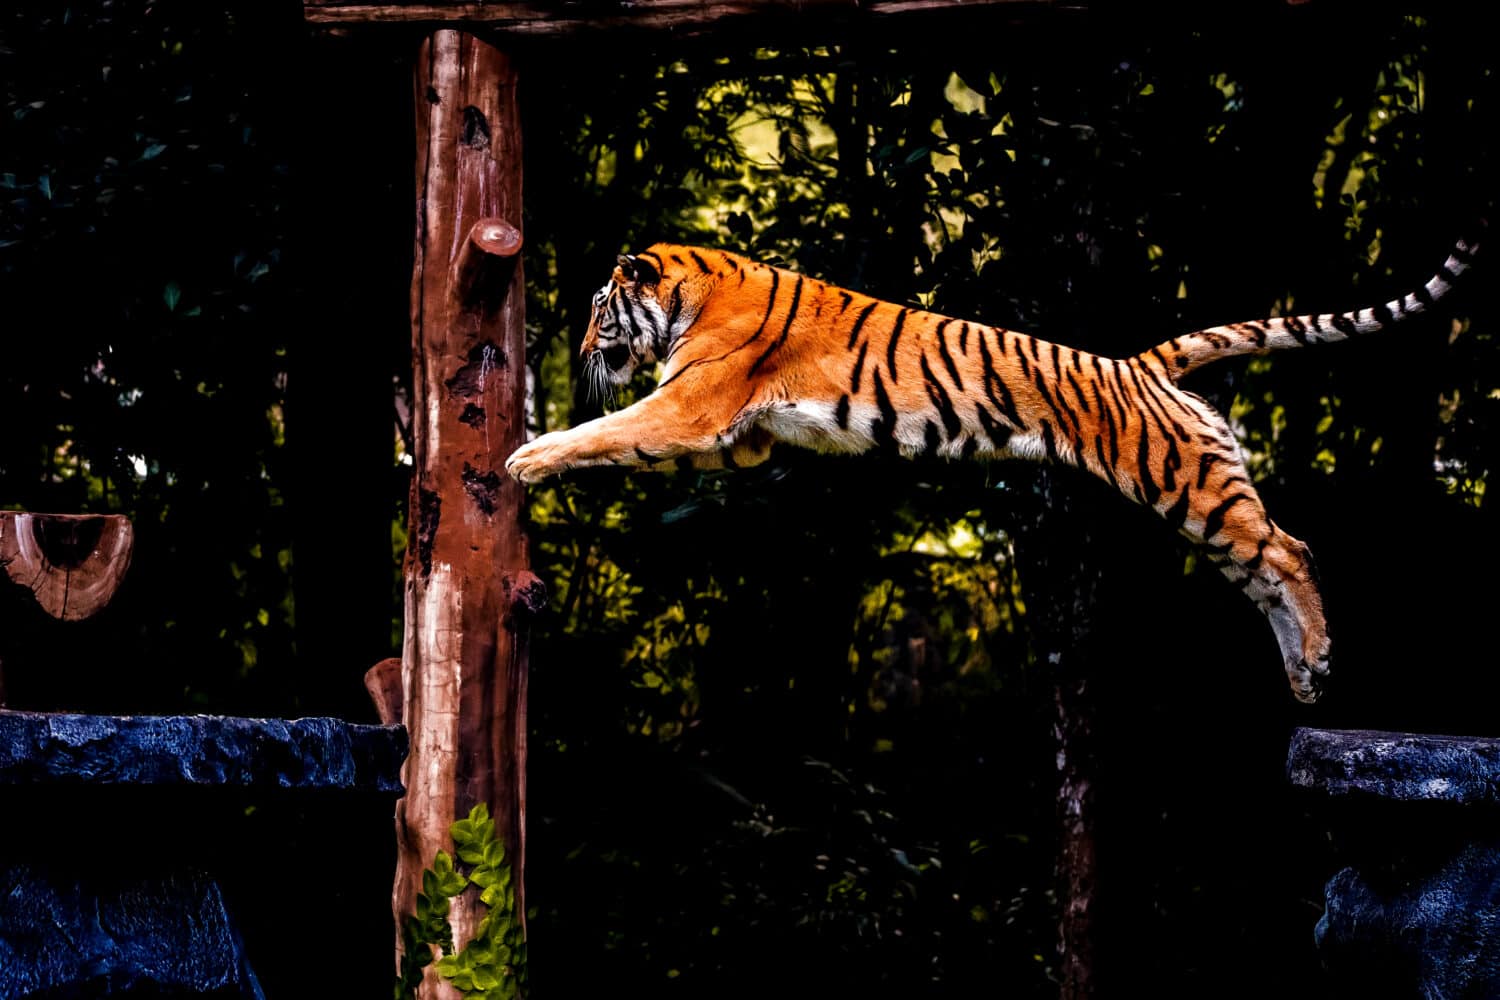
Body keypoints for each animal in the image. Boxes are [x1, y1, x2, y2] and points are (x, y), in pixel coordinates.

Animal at [505, 232, 1481, 703]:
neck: (693, 292)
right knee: (1262, 571)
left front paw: (527, 455)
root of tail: (1146, 365)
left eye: (598, 310)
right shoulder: (735, 433)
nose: (581, 349)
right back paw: (1305, 675)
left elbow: (607, 429)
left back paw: (1317, 655)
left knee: (1291, 551)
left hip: (1184, 483)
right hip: (1203, 495)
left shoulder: (690, 407)